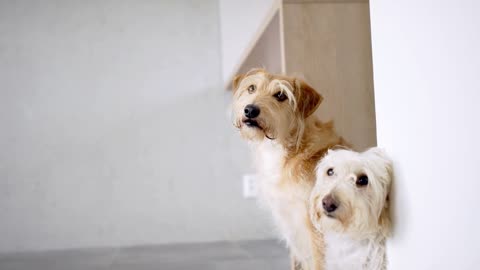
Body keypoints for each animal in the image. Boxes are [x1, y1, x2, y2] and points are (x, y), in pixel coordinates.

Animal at [232, 69, 346, 270]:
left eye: (281, 95)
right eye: (251, 88)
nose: (250, 110)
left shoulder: (316, 228)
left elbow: (319, 262)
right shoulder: (290, 224)